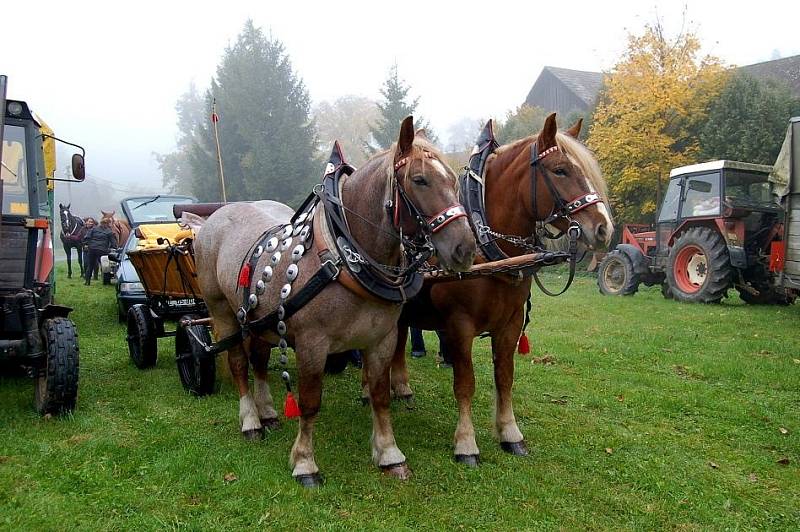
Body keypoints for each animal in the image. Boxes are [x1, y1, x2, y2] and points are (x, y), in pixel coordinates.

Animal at [194, 116, 476, 486]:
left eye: (454, 180)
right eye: (419, 180)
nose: (465, 248)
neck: (345, 257)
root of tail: (216, 216)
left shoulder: (382, 339)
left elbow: (380, 396)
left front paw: (389, 453)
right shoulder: (312, 344)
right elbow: (310, 401)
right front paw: (305, 462)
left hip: (260, 320)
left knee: (258, 361)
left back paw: (267, 412)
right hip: (221, 310)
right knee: (240, 363)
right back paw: (251, 421)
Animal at [384, 113, 616, 466]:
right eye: (560, 170)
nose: (604, 228)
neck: (490, 249)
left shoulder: (510, 323)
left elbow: (505, 377)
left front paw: (510, 433)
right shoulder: (460, 325)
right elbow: (465, 383)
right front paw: (466, 443)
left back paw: (401, 387)